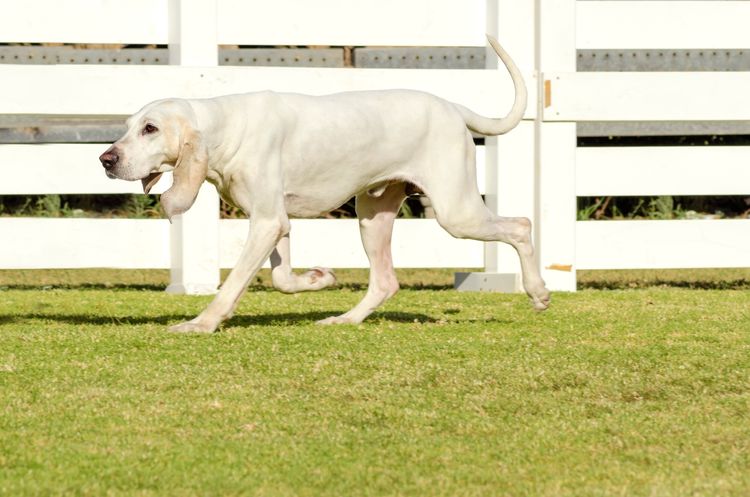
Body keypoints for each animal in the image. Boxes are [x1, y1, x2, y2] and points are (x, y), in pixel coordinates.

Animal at [100, 36, 548, 332]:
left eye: (150, 129)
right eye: (127, 126)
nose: (106, 159)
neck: (226, 127)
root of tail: (454, 107)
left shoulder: (266, 222)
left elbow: (233, 284)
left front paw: (202, 324)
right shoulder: (275, 221)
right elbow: (282, 279)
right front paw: (318, 280)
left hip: (456, 213)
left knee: (521, 225)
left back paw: (539, 291)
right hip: (373, 217)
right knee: (385, 281)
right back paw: (346, 319)